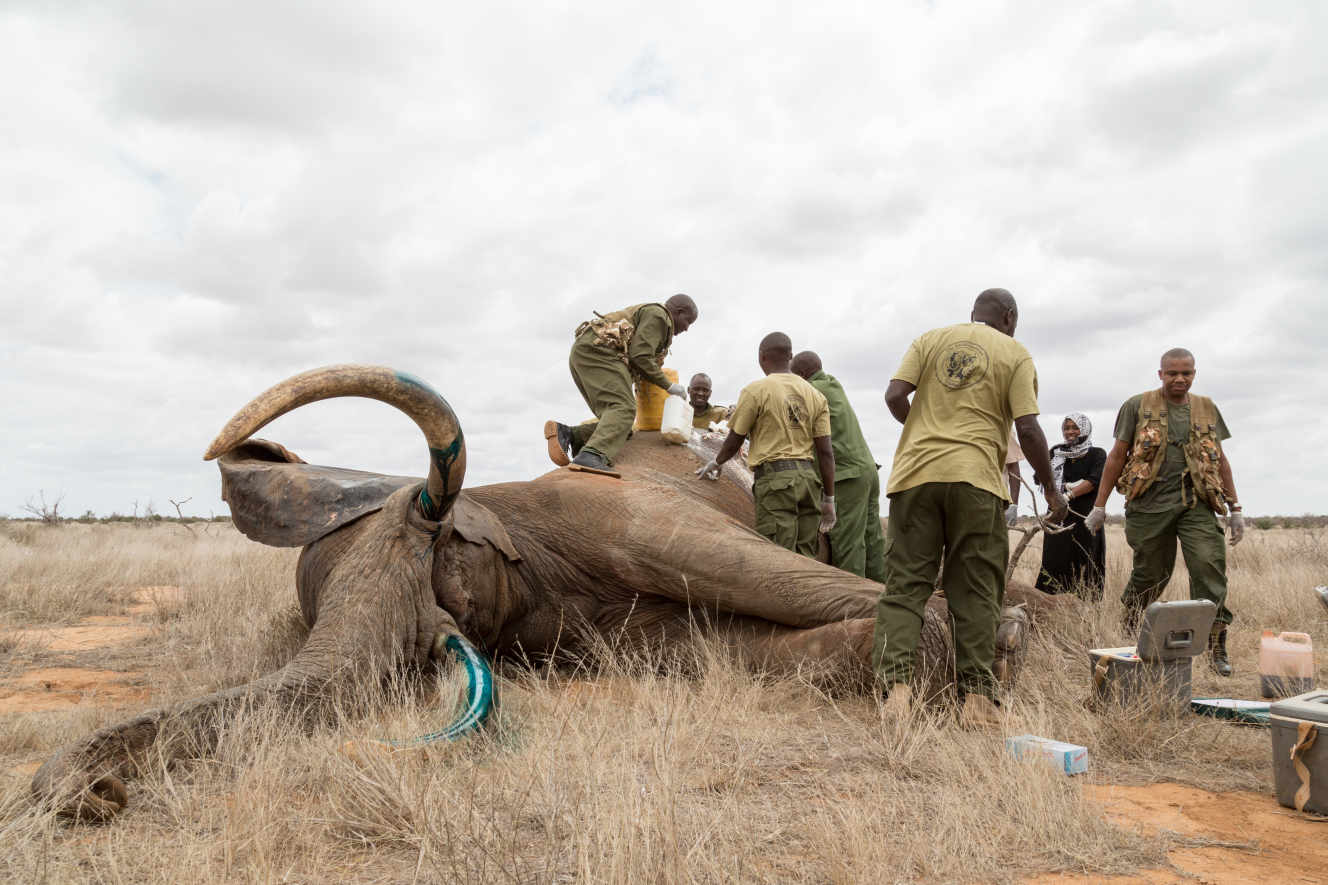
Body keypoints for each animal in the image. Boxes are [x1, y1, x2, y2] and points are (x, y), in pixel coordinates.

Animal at [31, 361, 1073, 818]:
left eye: (432, 546)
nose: (89, 793)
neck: (504, 511)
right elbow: (725, 653)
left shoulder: (612, 512)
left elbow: (758, 578)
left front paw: (998, 641)